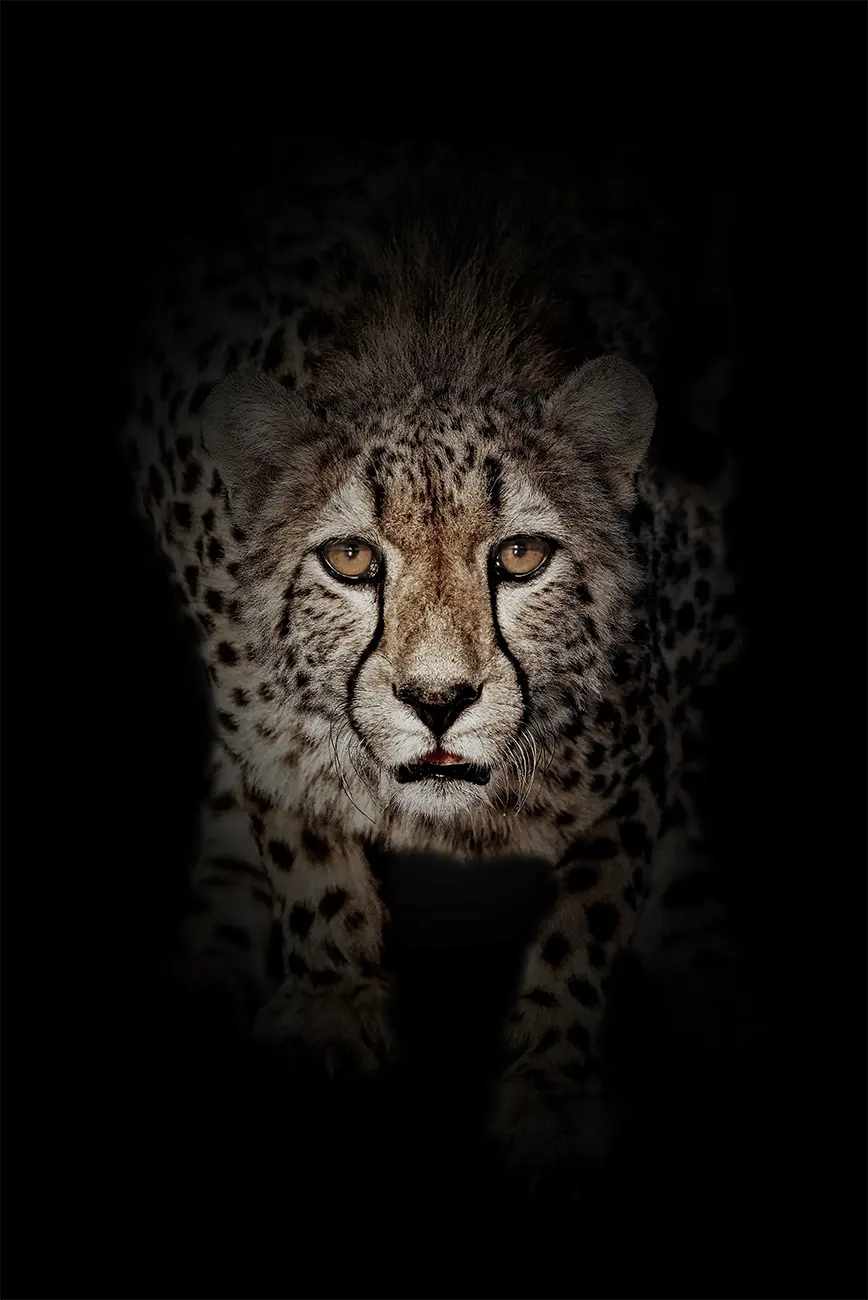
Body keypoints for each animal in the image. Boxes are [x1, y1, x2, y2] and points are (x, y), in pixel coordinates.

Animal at [124, 141, 744, 1180]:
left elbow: (593, 912)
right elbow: (295, 819)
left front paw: (550, 1088)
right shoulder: (247, 690)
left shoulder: (658, 722)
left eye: (521, 556)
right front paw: (330, 1006)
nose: (439, 700)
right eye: (350, 559)